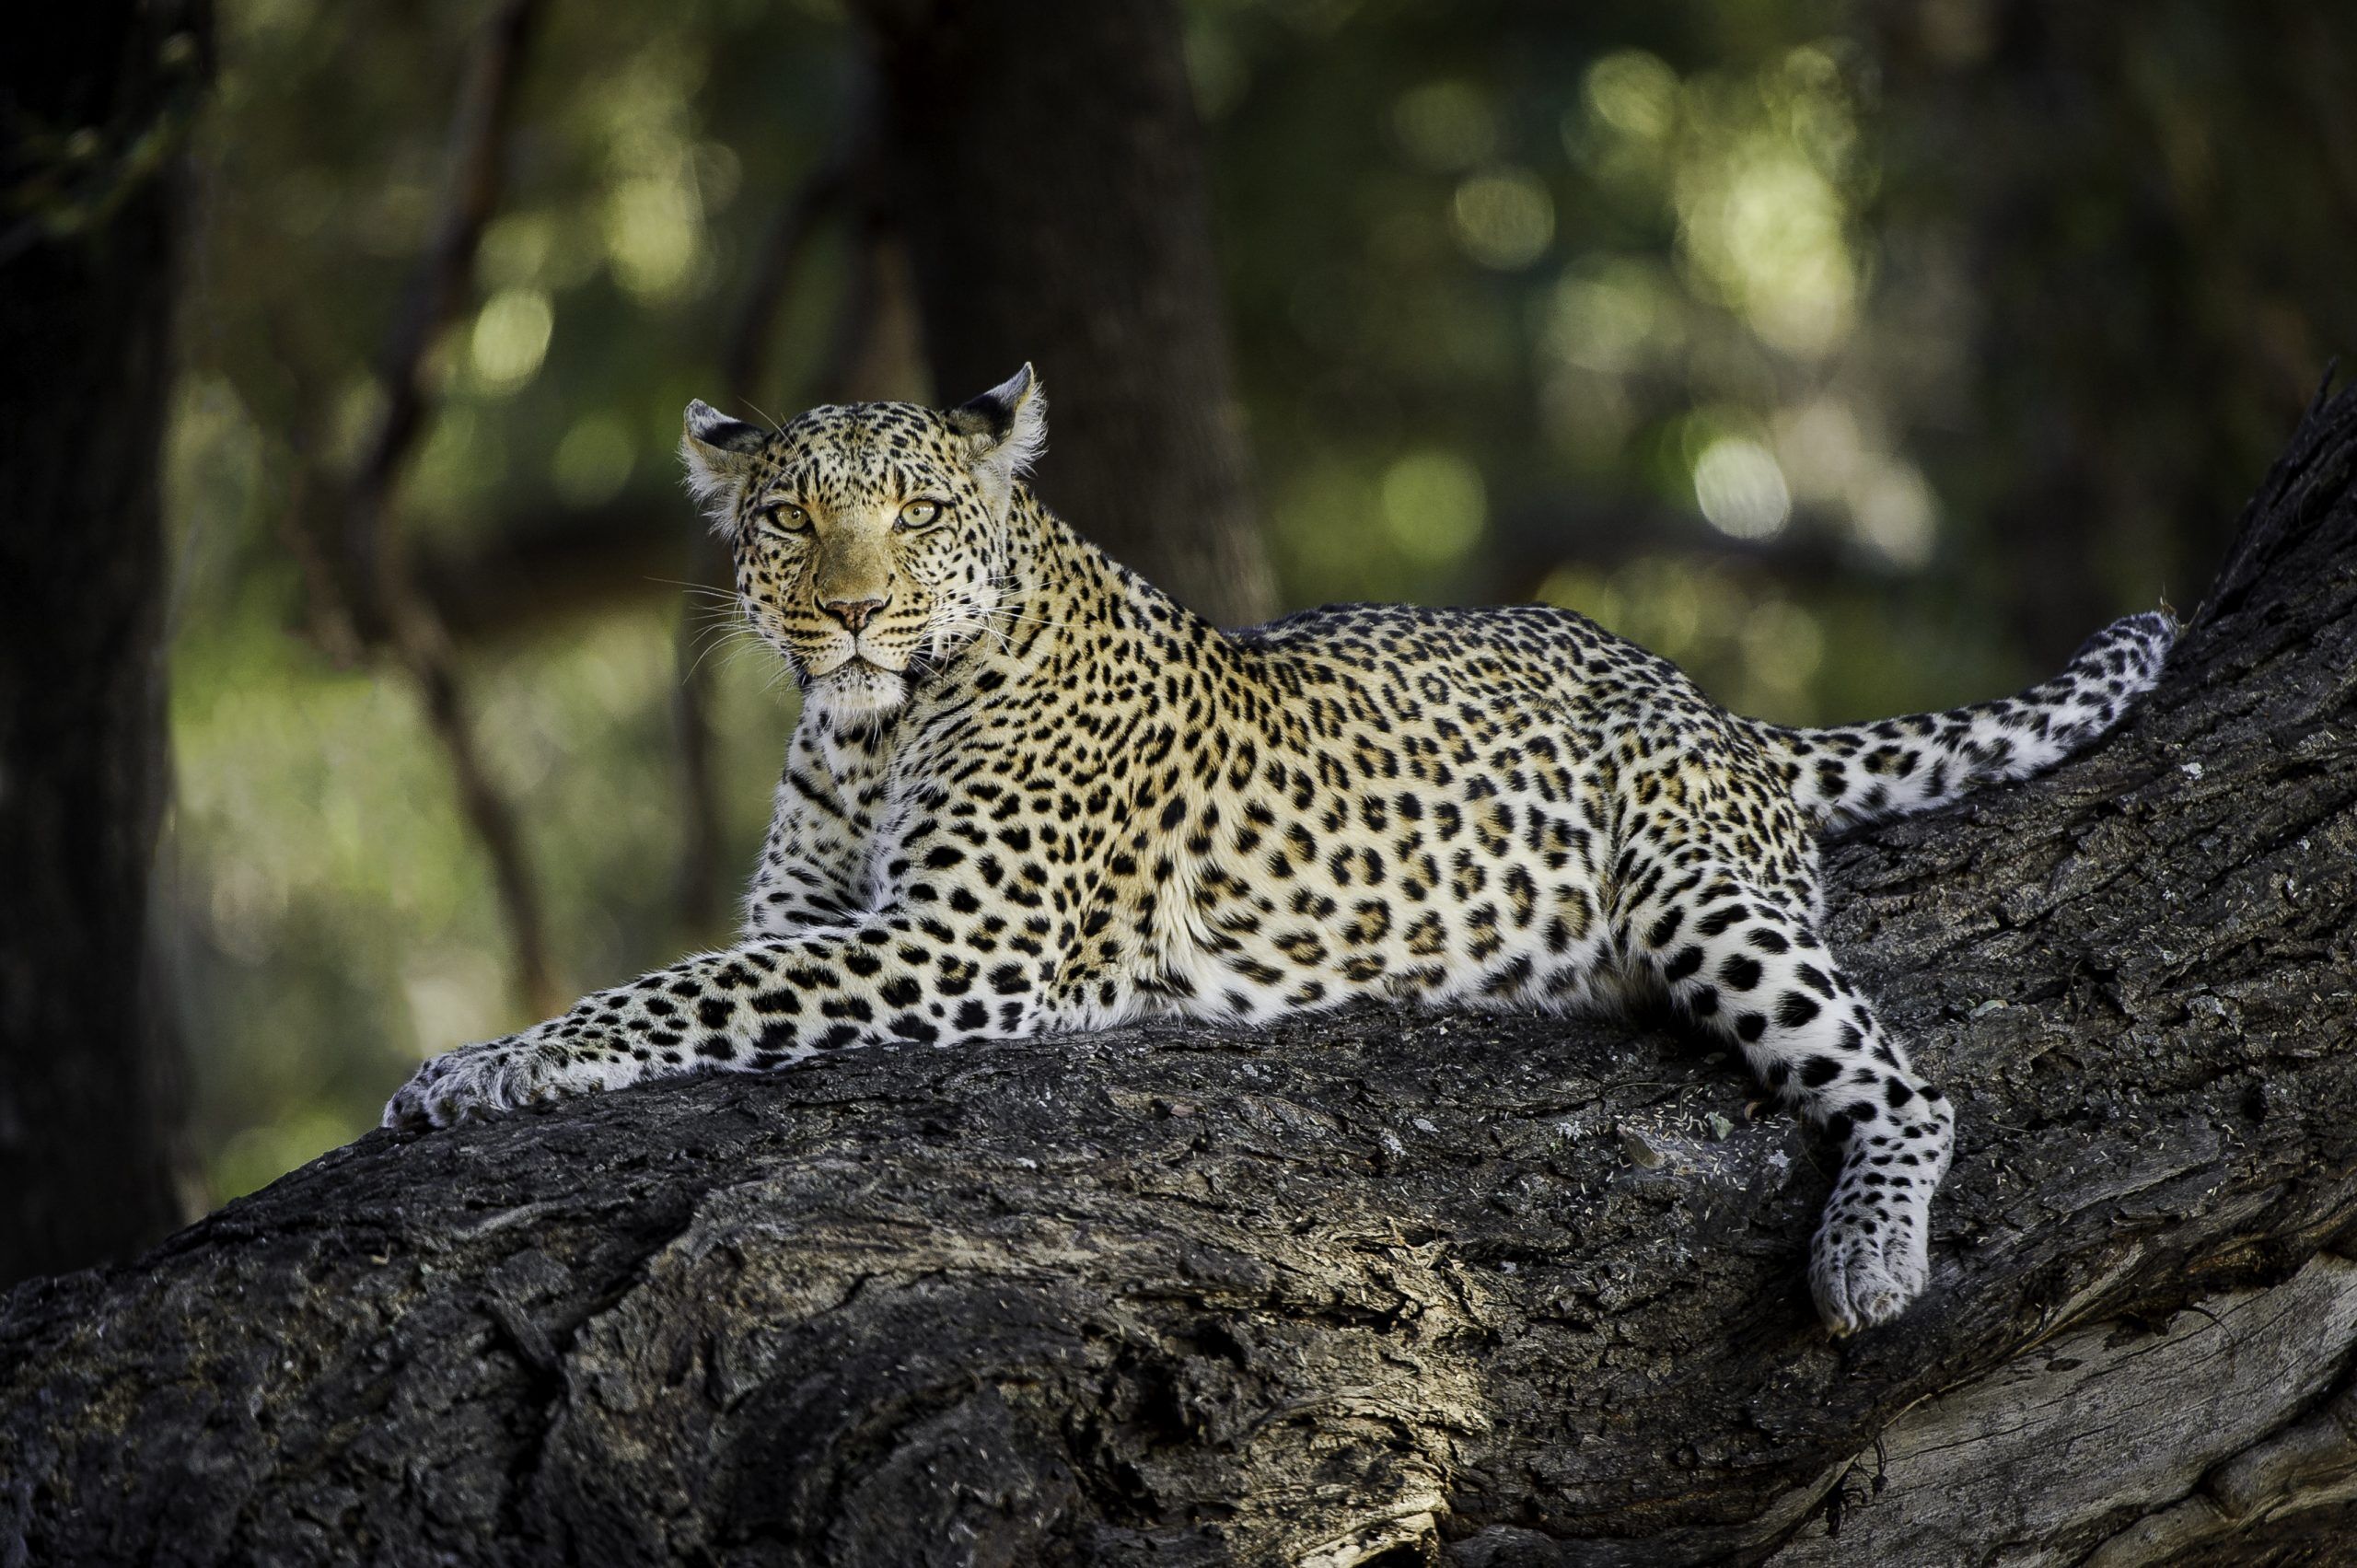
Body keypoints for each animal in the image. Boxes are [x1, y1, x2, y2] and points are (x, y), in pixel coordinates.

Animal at [383, 364, 2177, 1333]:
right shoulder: (818, 918)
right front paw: (482, 1058)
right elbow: (702, 971)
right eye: (790, 518)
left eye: (916, 514)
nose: (852, 611)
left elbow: (672, 991)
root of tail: (1713, 702)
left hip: (1701, 887)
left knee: (1908, 1083)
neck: (867, 729)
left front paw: (485, 1064)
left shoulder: (962, 946)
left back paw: (1867, 1252)